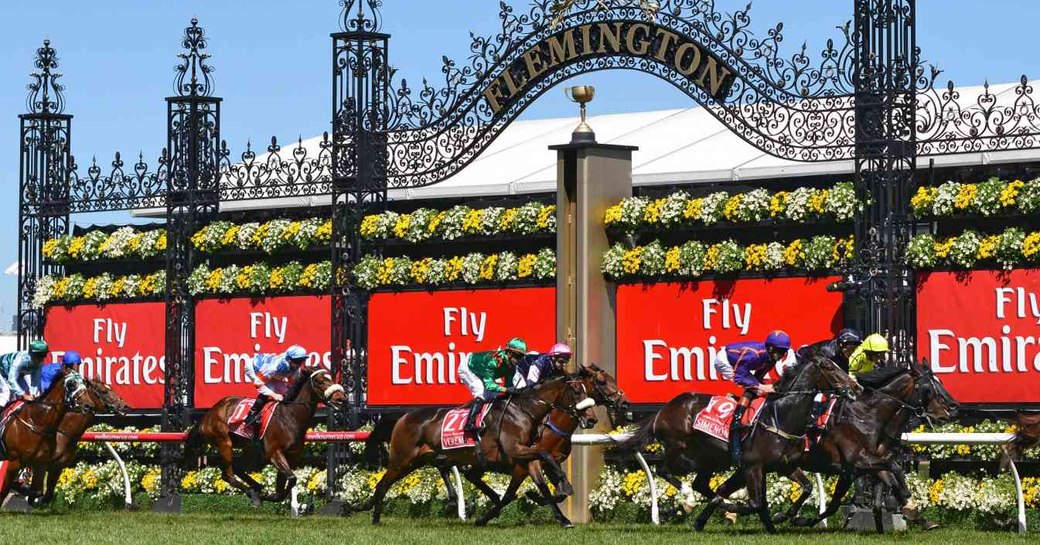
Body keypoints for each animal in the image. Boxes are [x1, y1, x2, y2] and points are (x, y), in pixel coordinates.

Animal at [185, 366, 347, 507]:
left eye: (332, 377)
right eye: (319, 380)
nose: (341, 398)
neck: (289, 417)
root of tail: (208, 414)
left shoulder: (291, 456)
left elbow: (287, 482)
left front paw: (271, 496)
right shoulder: (274, 452)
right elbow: (292, 478)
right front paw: (266, 496)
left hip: (249, 448)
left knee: (238, 468)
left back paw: (258, 488)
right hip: (224, 442)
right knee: (227, 475)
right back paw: (253, 494)